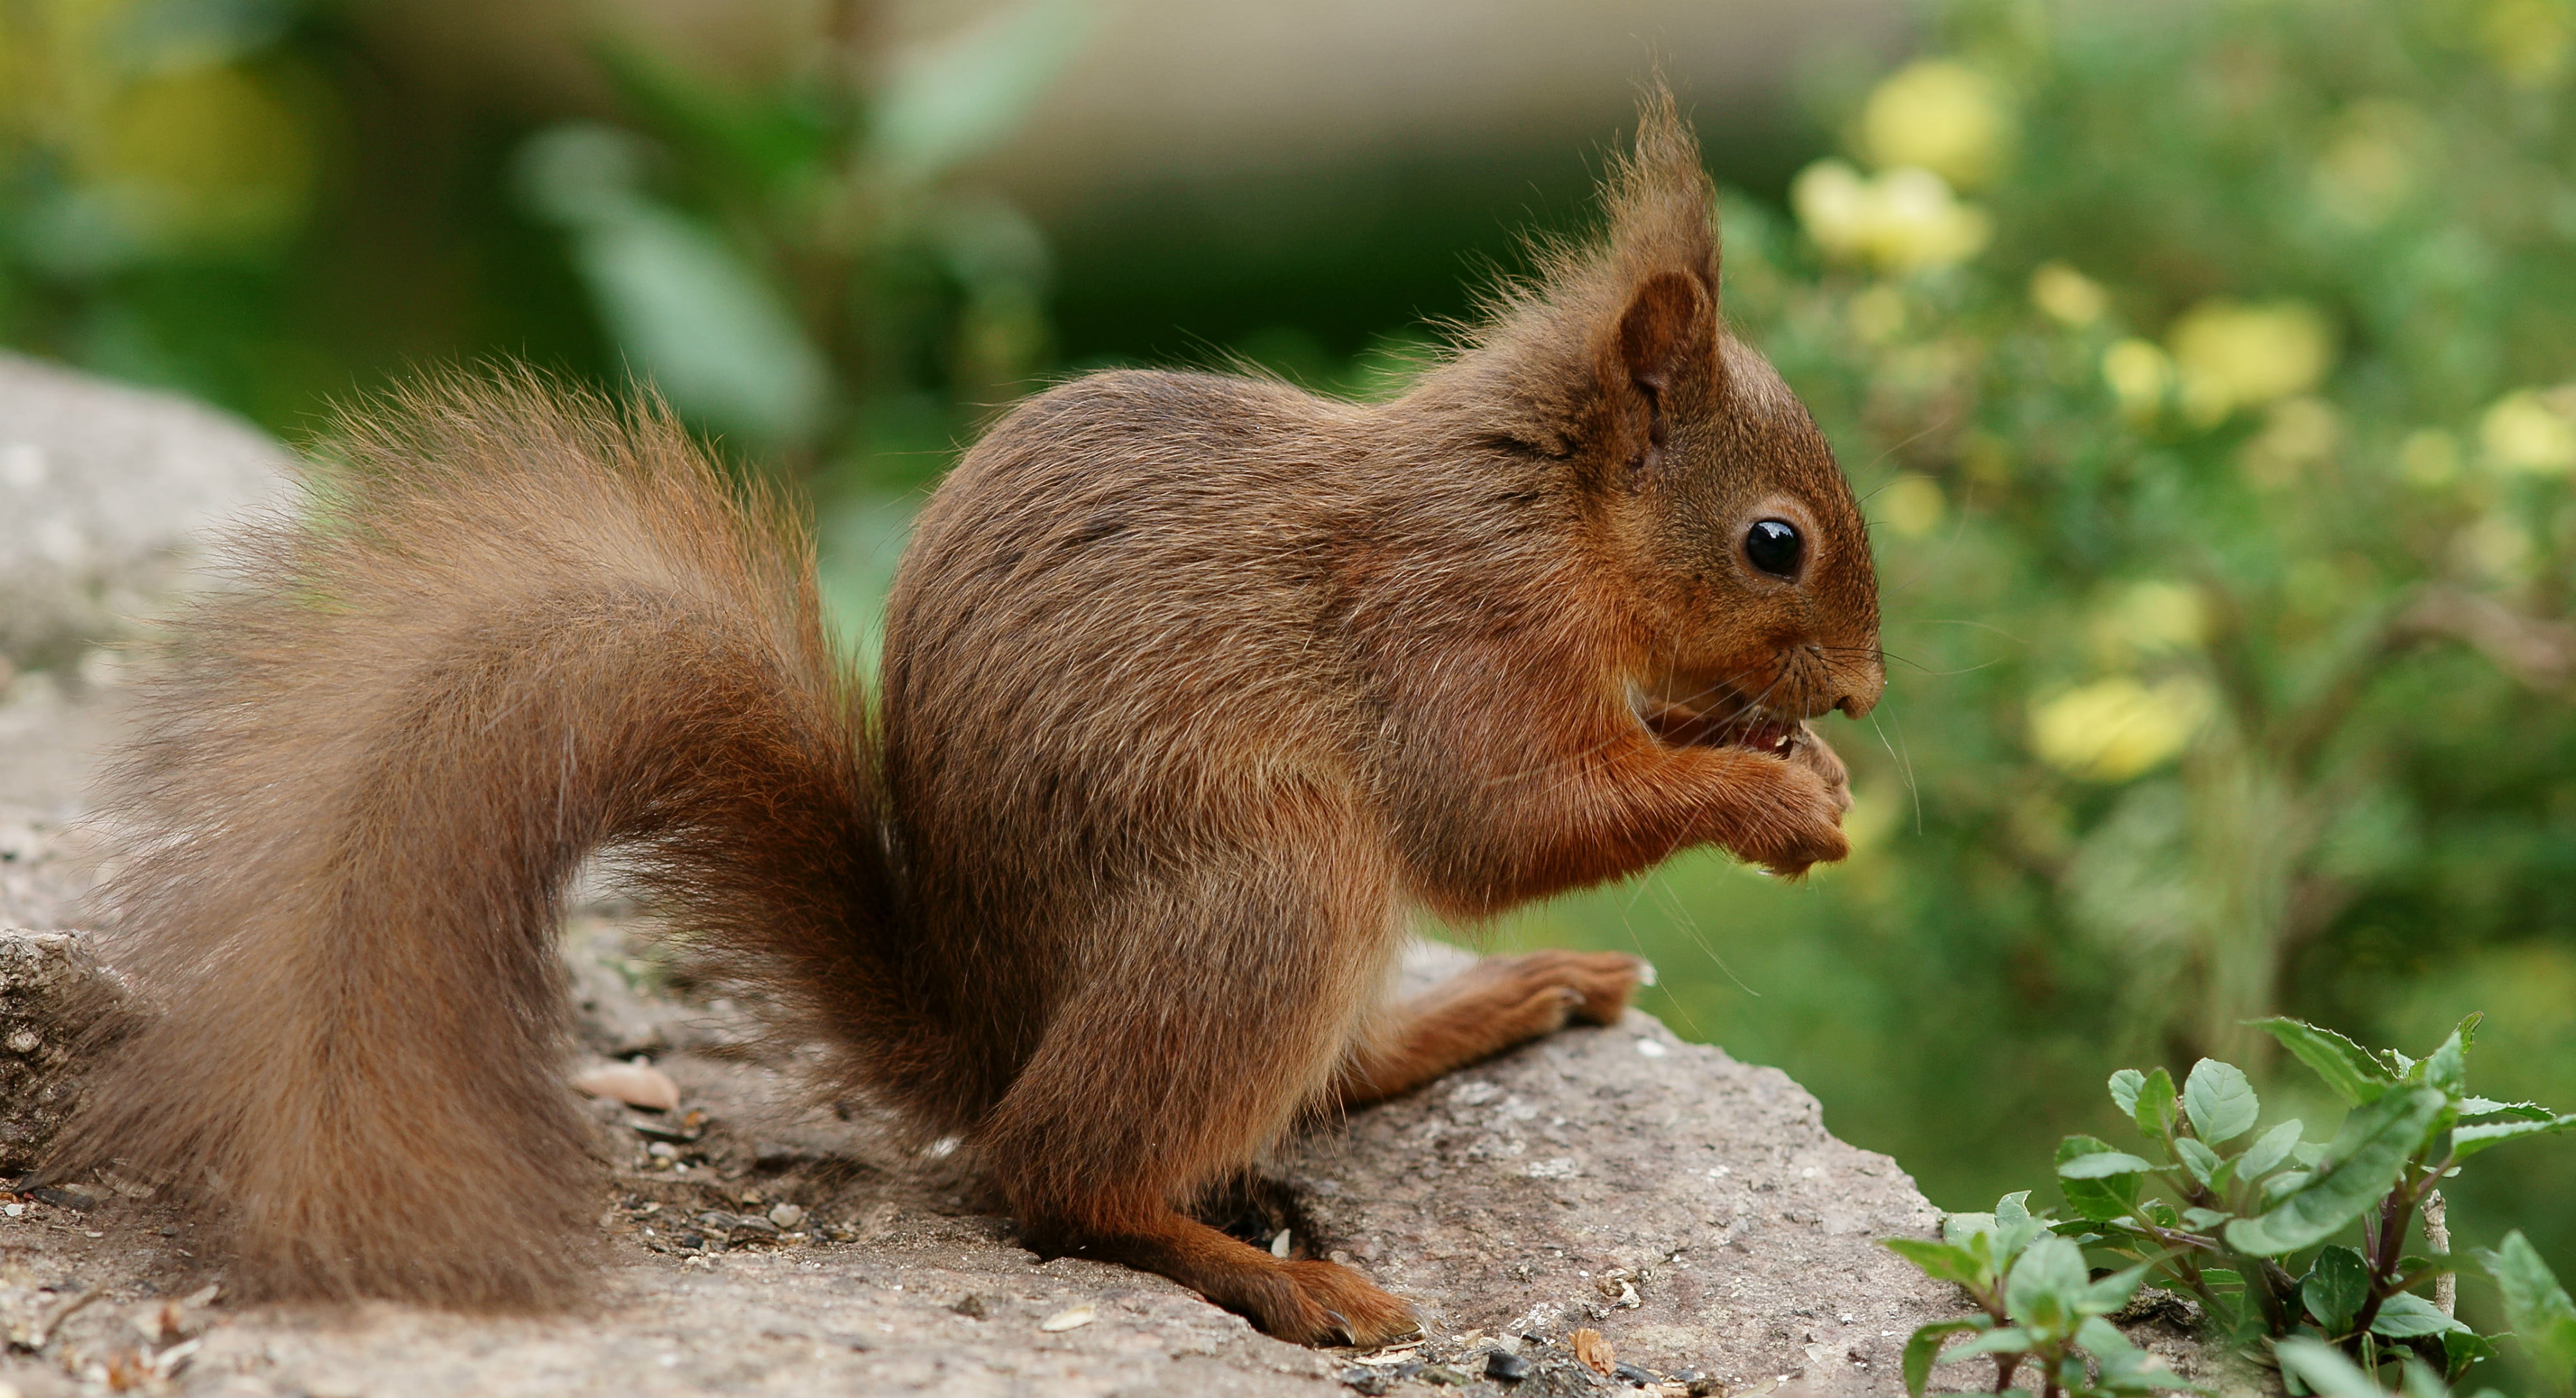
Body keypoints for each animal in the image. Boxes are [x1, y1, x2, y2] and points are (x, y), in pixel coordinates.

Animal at [49, 90, 1881, 1347]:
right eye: (1771, 541)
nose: (1864, 687)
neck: (1547, 506)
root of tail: (980, 1035)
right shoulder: (1448, 624)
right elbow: (1500, 818)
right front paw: (1773, 799)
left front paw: (1801, 762)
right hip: (1275, 889)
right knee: (1055, 1177)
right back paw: (1280, 1279)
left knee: (1304, 1088)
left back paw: (1497, 1003)